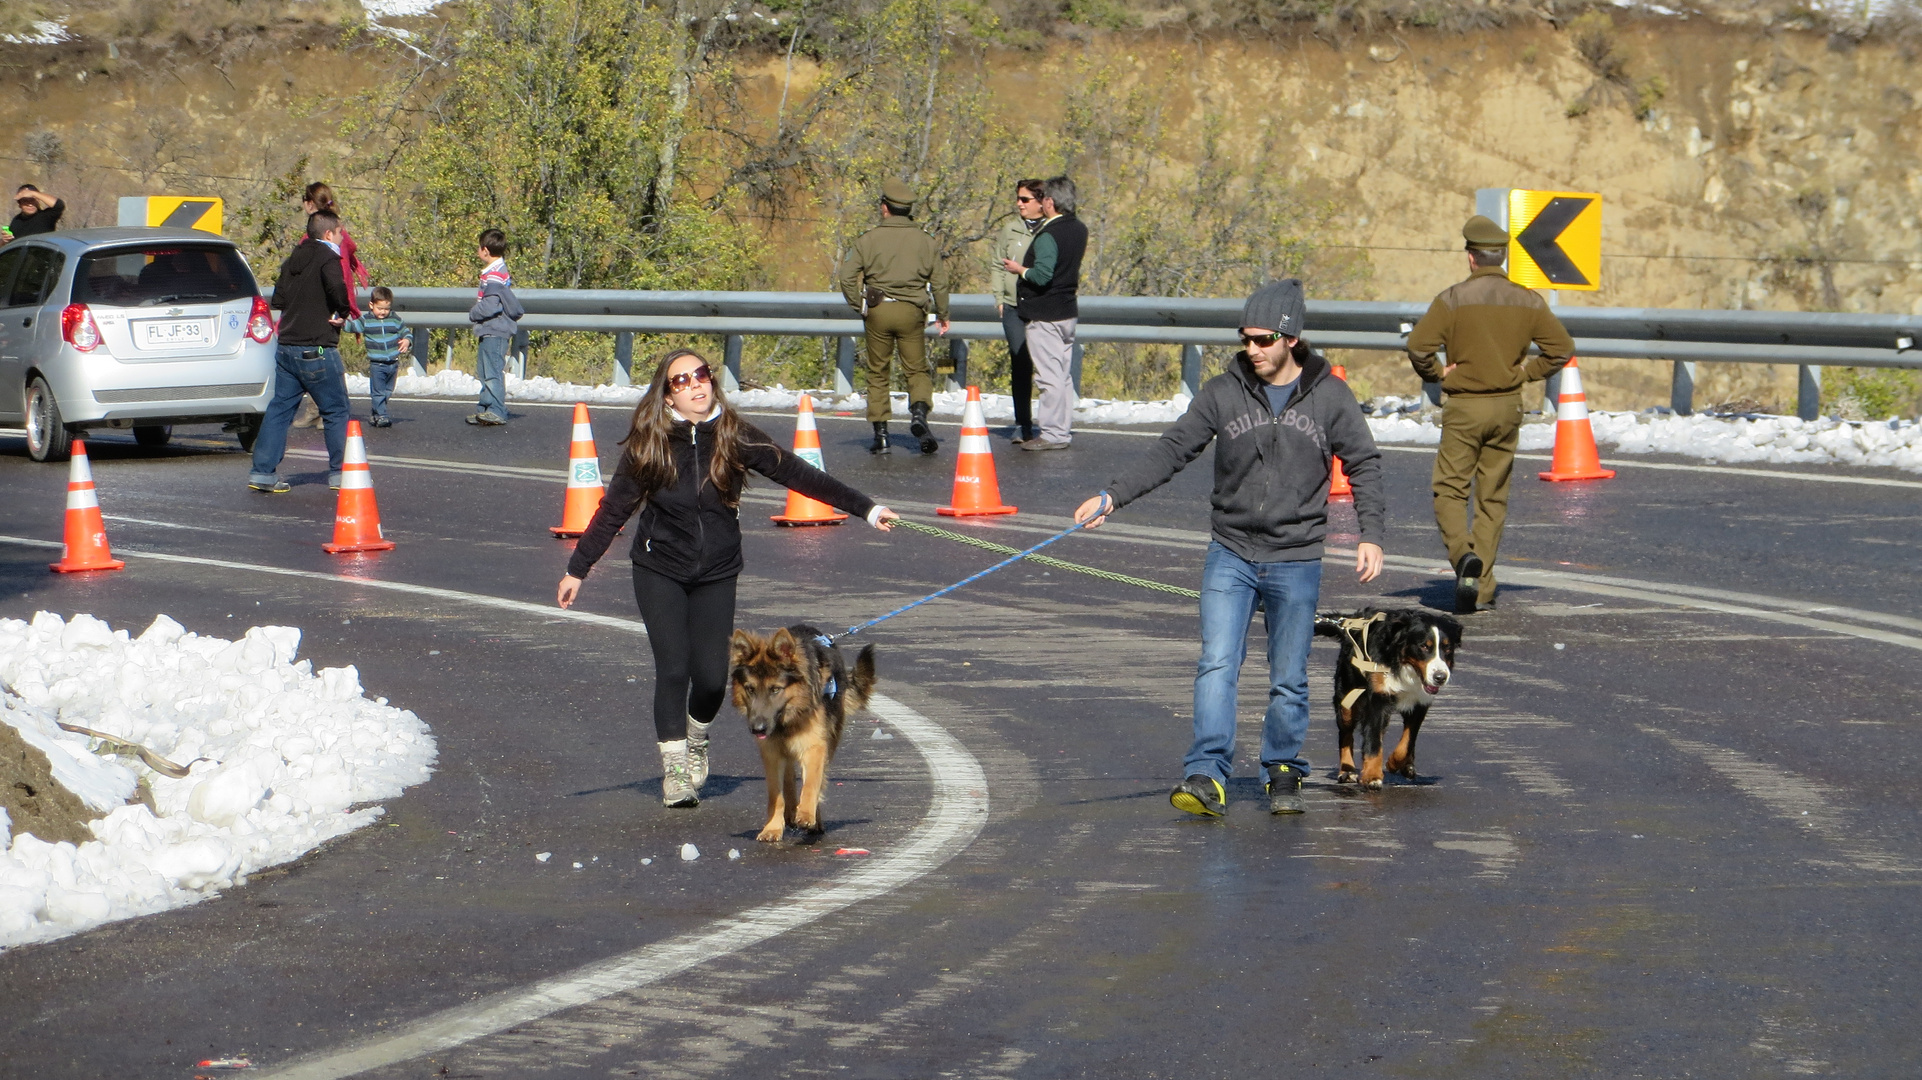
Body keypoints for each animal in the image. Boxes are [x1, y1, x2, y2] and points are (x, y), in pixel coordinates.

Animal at [722, 622, 876, 841]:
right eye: (750, 689)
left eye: (775, 689)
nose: (757, 729)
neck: (788, 719)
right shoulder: (772, 753)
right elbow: (776, 794)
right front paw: (773, 827)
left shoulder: (814, 747)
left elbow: (811, 784)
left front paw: (806, 814)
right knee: (788, 780)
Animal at [1314, 599, 1460, 787]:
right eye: (1423, 647)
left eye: (1447, 648)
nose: (1440, 677)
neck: (1403, 665)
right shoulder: (1378, 698)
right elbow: (1374, 741)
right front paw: (1372, 776)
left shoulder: (1420, 703)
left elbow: (1407, 741)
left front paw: (1394, 763)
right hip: (1347, 699)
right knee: (1345, 734)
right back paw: (1347, 771)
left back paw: (1407, 766)